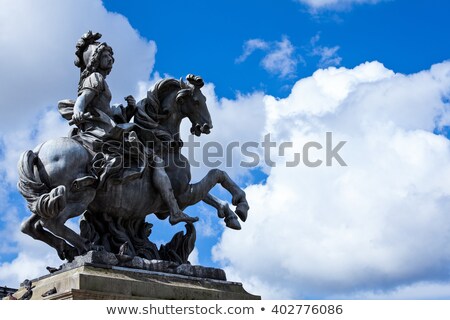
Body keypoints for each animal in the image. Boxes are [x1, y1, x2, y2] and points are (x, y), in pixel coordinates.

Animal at [16, 75, 250, 262]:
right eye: (197, 101)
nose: (207, 126)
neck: (161, 141)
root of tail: (38, 150)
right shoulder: (182, 194)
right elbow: (216, 175)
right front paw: (240, 204)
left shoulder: (185, 192)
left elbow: (212, 193)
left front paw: (233, 214)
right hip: (80, 196)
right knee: (53, 222)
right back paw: (88, 246)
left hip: (49, 199)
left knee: (30, 225)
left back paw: (68, 248)